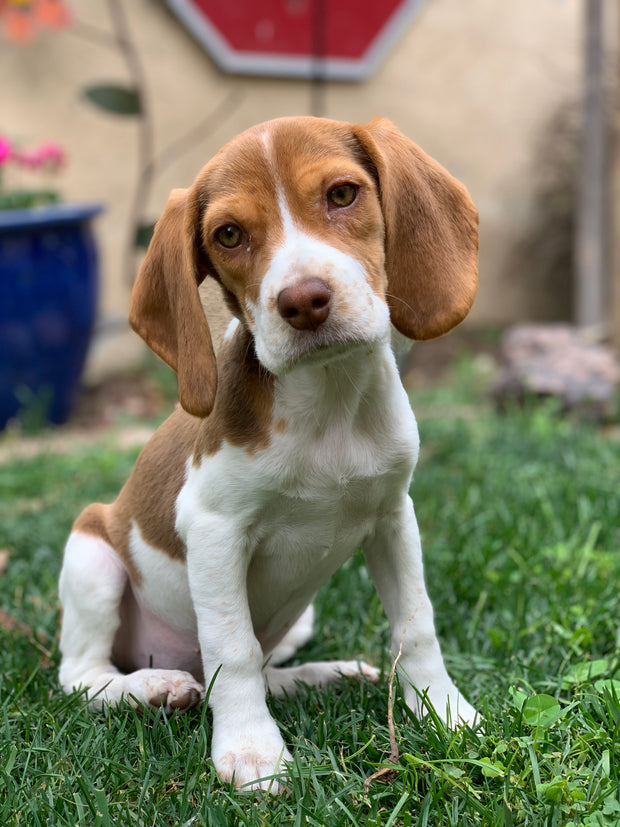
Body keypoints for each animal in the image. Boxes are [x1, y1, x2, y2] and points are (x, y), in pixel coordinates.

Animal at [58, 115, 478, 788]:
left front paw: (445, 712)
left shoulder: (393, 516)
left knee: (259, 665)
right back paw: (151, 687)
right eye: (229, 234)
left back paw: (314, 678)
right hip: (92, 552)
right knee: (83, 675)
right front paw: (252, 753)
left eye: (342, 195)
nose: (303, 301)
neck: (328, 405)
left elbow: (416, 626)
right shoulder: (212, 528)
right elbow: (233, 649)